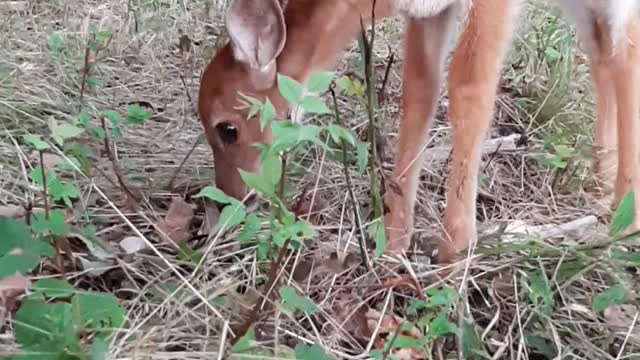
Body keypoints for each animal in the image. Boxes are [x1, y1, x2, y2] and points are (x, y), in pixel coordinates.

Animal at [198, 0, 640, 264]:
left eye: (227, 129)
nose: (230, 201)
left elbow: (468, 83)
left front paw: (454, 253)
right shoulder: (428, 10)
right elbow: (419, 88)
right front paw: (393, 247)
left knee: (625, 45)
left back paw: (620, 228)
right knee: (601, 48)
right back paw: (601, 181)